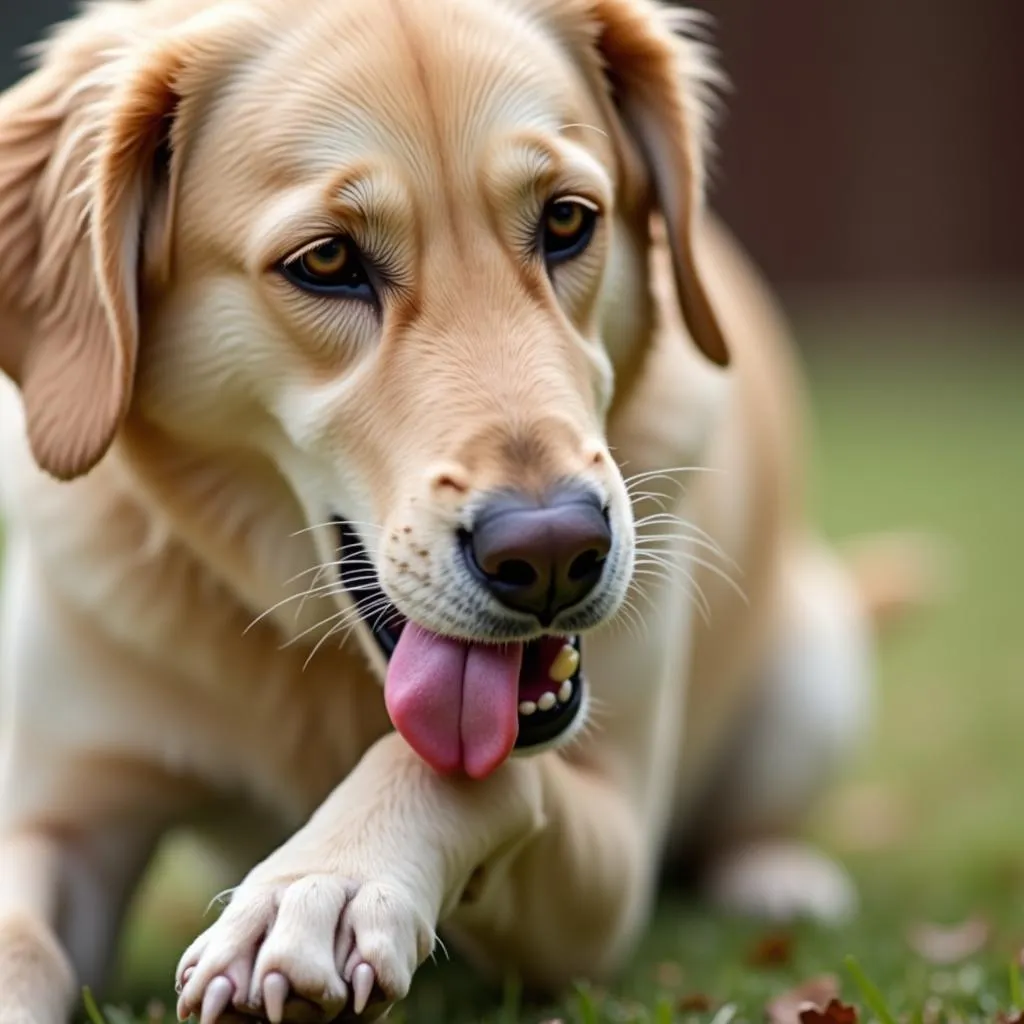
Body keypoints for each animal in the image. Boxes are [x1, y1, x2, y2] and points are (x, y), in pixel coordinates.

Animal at [0, 0, 921, 1019]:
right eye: (327, 259)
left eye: (567, 220)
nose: (555, 552)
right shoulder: (58, 814)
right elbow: (19, 938)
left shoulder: (611, 854)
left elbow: (469, 769)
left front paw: (319, 885)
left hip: (814, 673)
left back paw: (777, 875)